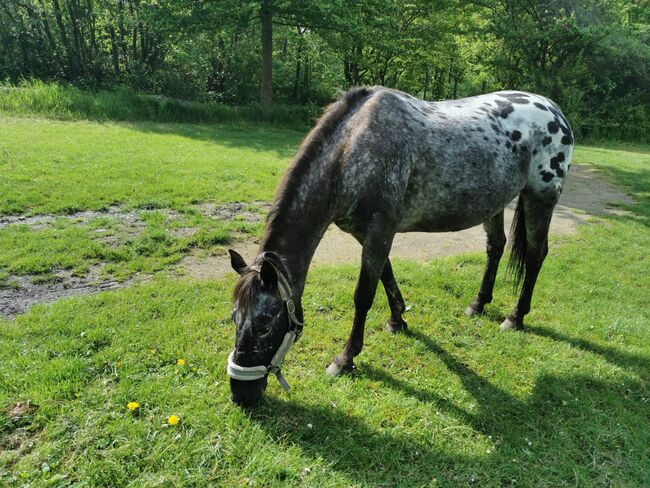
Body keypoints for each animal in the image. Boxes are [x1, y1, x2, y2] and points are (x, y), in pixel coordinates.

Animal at [225, 86, 568, 406]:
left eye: (264, 325)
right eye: (234, 318)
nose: (241, 393)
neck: (353, 151)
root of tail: (554, 110)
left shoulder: (379, 231)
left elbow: (364, 295)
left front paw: (345, 359)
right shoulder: (367, 233)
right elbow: (386, 275)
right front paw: (398, 320)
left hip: (540, 198)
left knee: (536, 255)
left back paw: (515, 317)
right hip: (495, 203)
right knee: (495, 247)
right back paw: (478, 304)